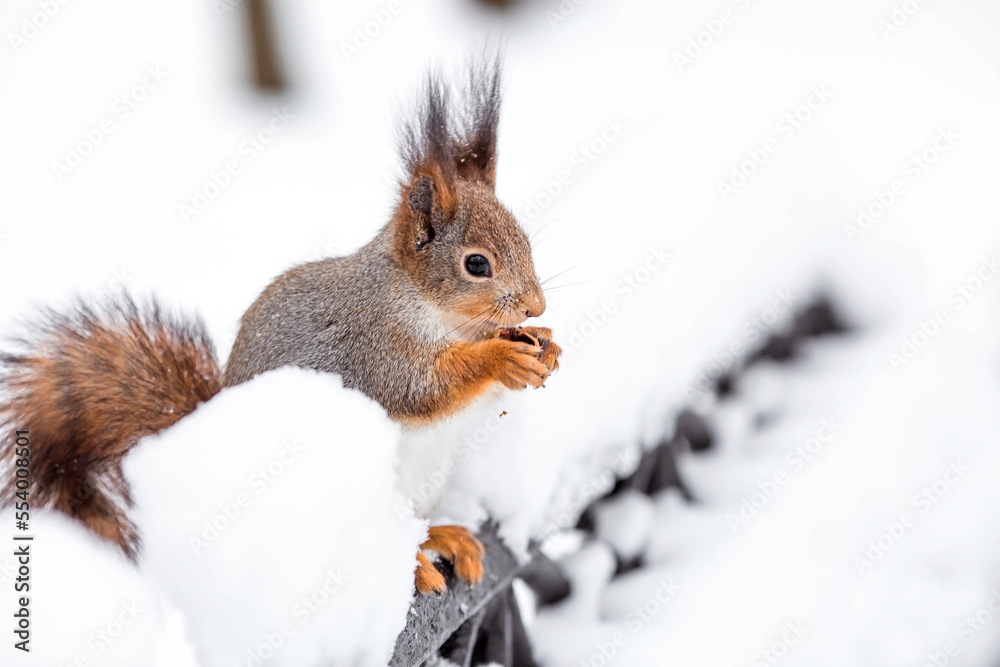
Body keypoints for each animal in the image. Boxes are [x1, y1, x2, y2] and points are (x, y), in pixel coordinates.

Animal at [0, 54, 560, 596]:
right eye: (476, 264)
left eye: (525, 240)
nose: (536, 306)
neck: (436, 312)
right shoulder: (372, 345)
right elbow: (422, 388)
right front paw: (502, 357)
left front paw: (546, 348)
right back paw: (419, 564)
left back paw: (442, 536)